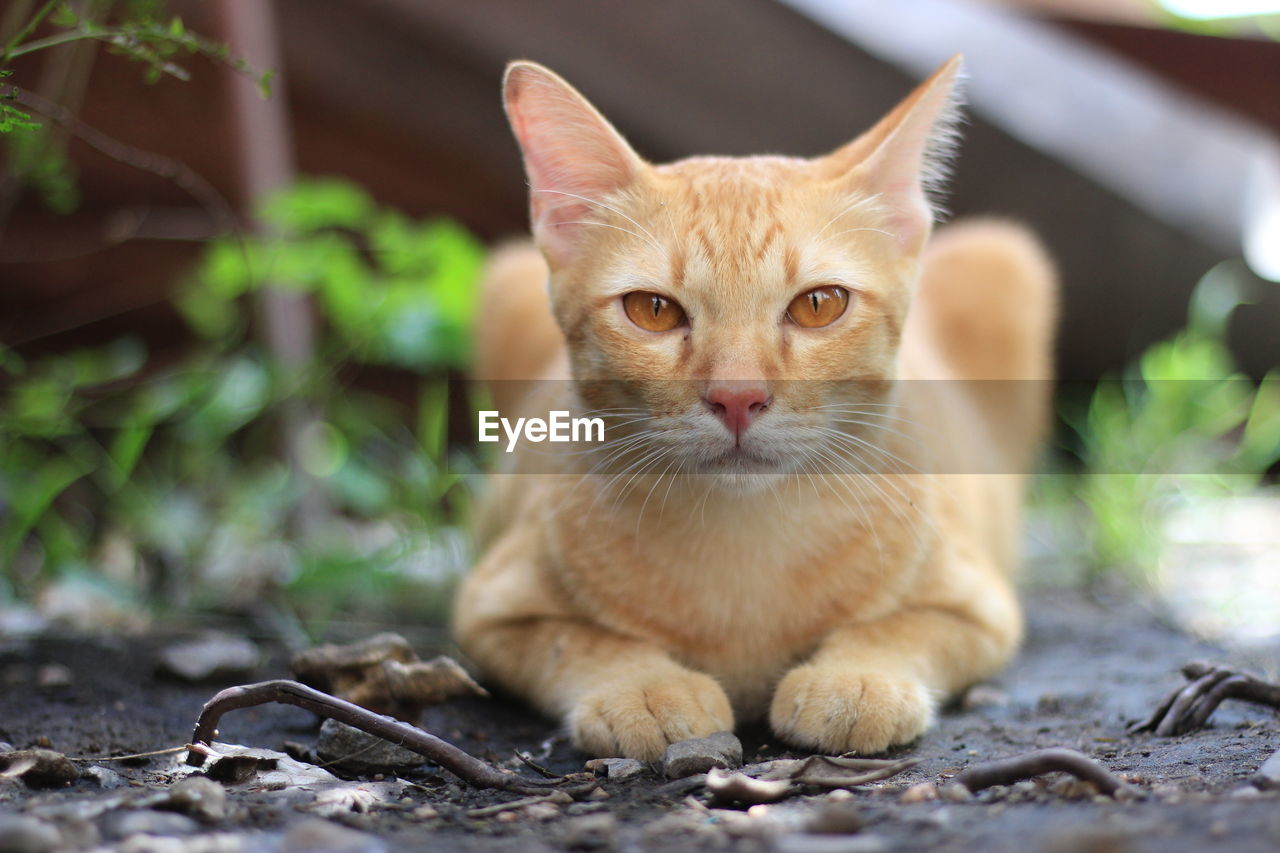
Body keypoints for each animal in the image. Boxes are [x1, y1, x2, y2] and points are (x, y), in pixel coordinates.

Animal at [455, 56, 1054, 753]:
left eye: (819, 304)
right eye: (652, 310)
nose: (737, 396)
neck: (744, 547)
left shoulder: (982, 606)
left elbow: (904, 627)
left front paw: (856, 678)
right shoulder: (490, 610)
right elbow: (574, 641)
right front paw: (644, 687)